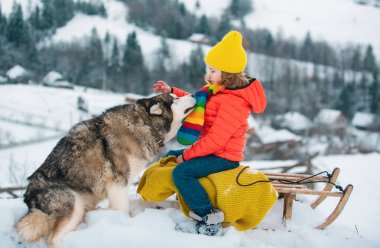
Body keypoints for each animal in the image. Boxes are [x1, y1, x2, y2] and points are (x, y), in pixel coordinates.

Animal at [14, 93, 194, 248]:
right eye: (175, 99)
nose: (193, 94)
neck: (145, 124)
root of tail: (29, 199)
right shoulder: (118, 182)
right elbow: (123, 210)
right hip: (74, 205)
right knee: (52, 239)